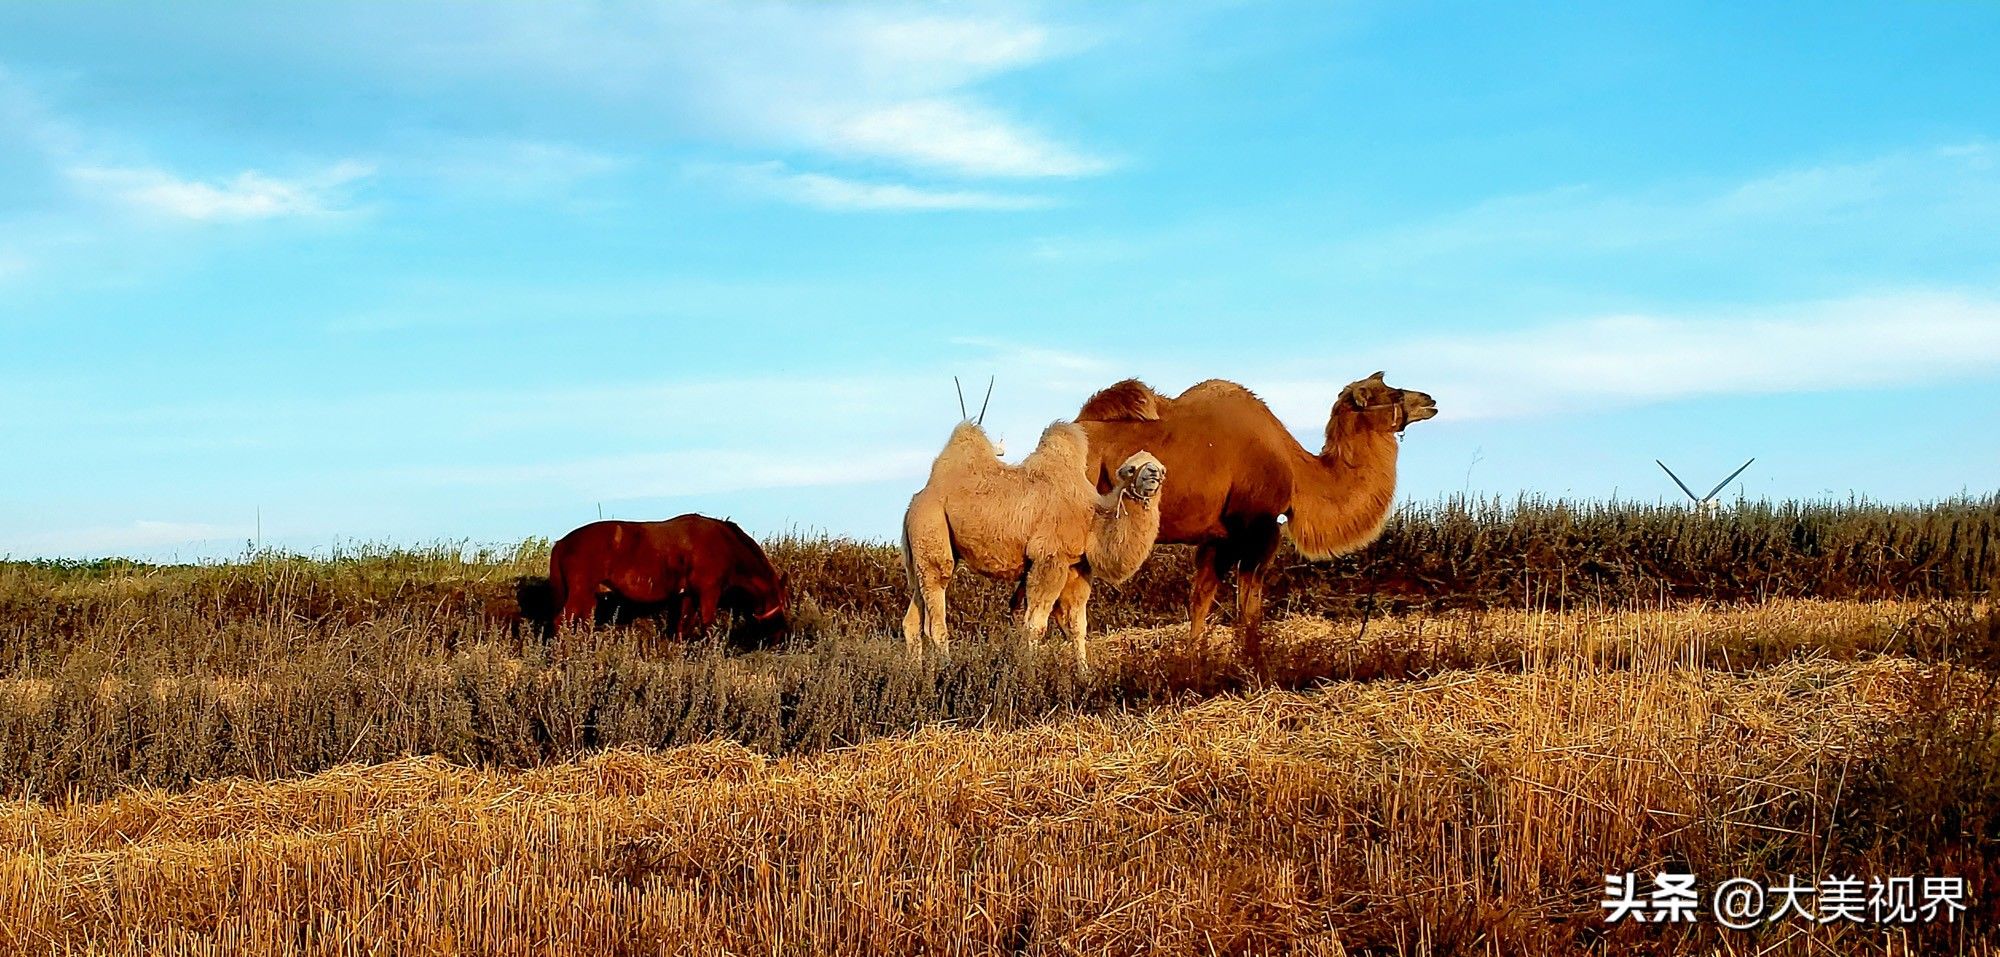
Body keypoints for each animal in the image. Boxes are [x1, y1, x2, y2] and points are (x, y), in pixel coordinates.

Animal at [556, 516, 796, 648]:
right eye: (780, 603)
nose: (782, 636)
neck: (726, 546)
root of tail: (562, 543)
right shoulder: (708, 592)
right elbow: (707, 624)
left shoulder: (688, 595)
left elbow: (683, 625)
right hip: (579, 592)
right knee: (561, 622)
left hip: (590, 596)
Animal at [900, 422, 1168, 668]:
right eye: (1131, 469)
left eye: (1161, 468)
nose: (1153, 474)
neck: (1090, 518)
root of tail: (916, 500)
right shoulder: (1048, 558)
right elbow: (1036, 625)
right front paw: (1029, 671)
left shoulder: (1076, 568)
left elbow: (1077, 626)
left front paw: (1084, 674)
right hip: (931, 526)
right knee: (935, 614)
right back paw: (946, 670)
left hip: (922, 554)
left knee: (912, 619)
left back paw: (917, 675)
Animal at [1080, 370, 1440, 668]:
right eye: (1392, 393)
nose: (1430, 400)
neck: (1296, 471)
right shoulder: (1258, 528)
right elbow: (1250, 608)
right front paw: (1252, 660)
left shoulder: (1220, 537)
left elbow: (1201, 598)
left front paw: (1195, 659)